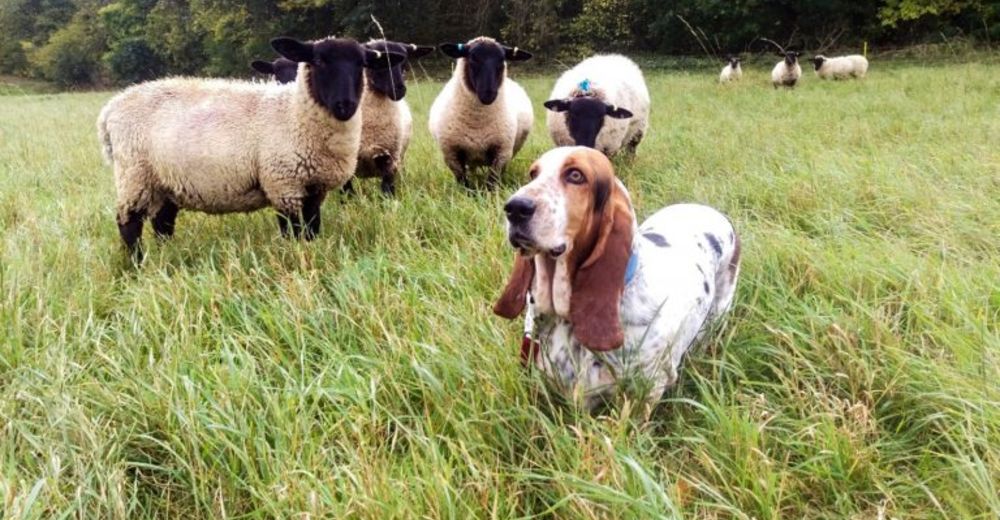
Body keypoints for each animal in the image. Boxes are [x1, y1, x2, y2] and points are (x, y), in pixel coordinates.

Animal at [96, 36, 402, 258]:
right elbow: (292, 231)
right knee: (128, 223)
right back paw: (136, 265)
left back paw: (167, 255)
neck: (293, 113)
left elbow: (312, 229)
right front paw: (296, 257)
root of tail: (111, 109)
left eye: (362, 64)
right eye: (318, 61)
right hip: (135, 175)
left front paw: (312, 251)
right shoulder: (283, 184)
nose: (345, 105)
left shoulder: (314, 188)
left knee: (162, 223)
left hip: (166, 181)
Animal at [428, 37, 536, 191]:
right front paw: (468, 194)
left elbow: (492, 181)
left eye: (502, 59)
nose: (488, 94)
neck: (477, 122)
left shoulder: (501, 153)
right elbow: (463, 182)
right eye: (473, 58)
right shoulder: (452, 154)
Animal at [494, 146, 744, 410]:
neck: (567, 318)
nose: (514, 207)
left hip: (718, 313)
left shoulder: (644, 394)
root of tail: (712, 211)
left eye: (575, 175)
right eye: (533, 174)